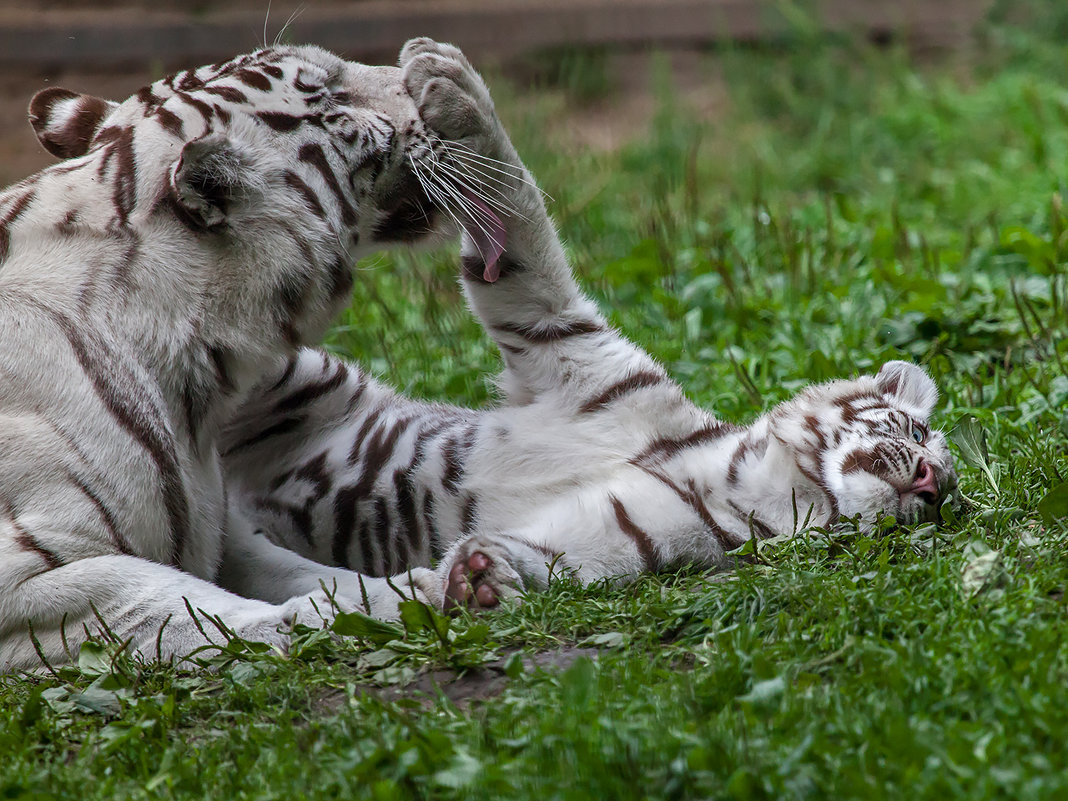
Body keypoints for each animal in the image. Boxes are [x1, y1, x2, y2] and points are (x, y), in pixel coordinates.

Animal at [221, 39, 956, 615]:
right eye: (918, 431)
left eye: (951, 501)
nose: (935, 484)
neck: (740, 478)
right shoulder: (567, 347)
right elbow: (519, 216)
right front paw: (449, 81)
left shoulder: (627, 536)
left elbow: (547, 554)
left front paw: (483, 577)